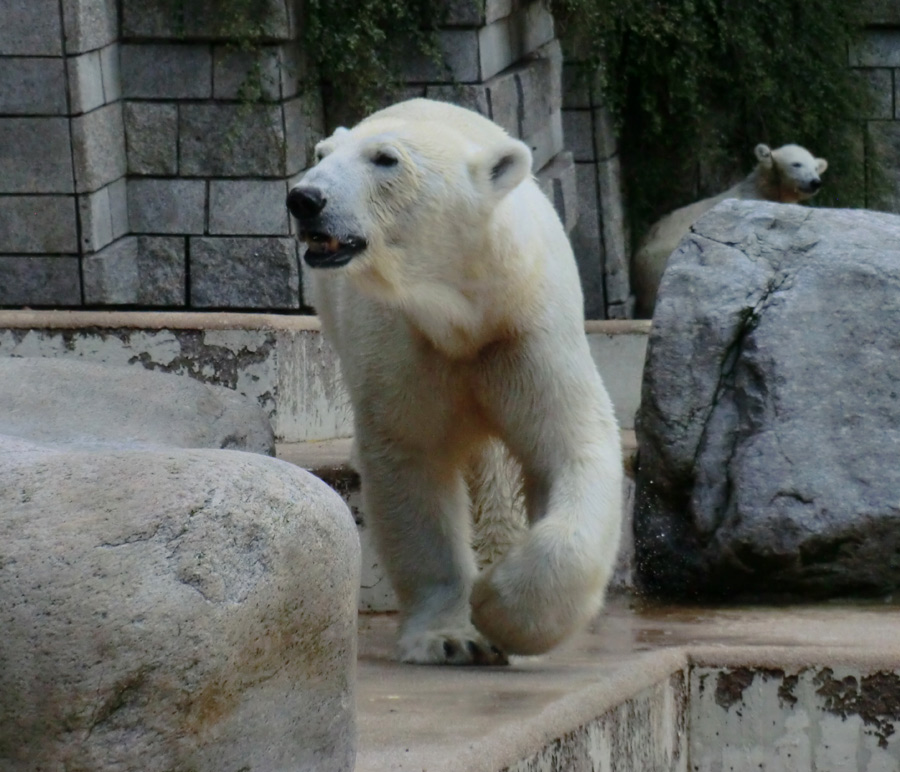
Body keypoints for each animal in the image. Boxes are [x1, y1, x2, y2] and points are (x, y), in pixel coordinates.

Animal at [284, 99, 624, 668]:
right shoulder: (403, 339)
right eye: (321, 153)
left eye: (386, 158)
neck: (465, 313)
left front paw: (501, 610)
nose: (305, 198)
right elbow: (411, 460)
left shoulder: (525, 332)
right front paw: (450, 635)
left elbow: (572, 445)